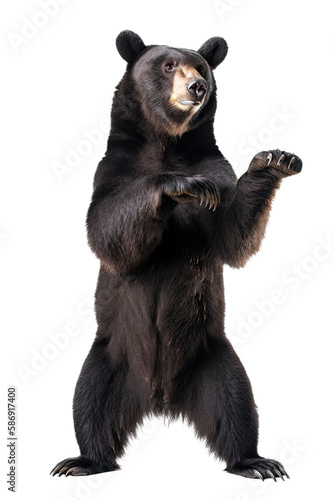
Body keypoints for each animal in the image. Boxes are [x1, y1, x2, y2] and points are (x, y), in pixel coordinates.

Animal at [51, 30, 302, 480]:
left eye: (200, 67)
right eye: (168, 65)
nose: (197, 87)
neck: (167, 143)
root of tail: (160, 399)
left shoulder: (215, 165)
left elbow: (231, 237)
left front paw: (273, 161)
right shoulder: (114, 171)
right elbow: (107, 230)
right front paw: (180, 185)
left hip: (213, 356)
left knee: (236, 404)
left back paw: (255, 461)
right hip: (111, 353)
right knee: (90, 399)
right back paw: (83, 461)